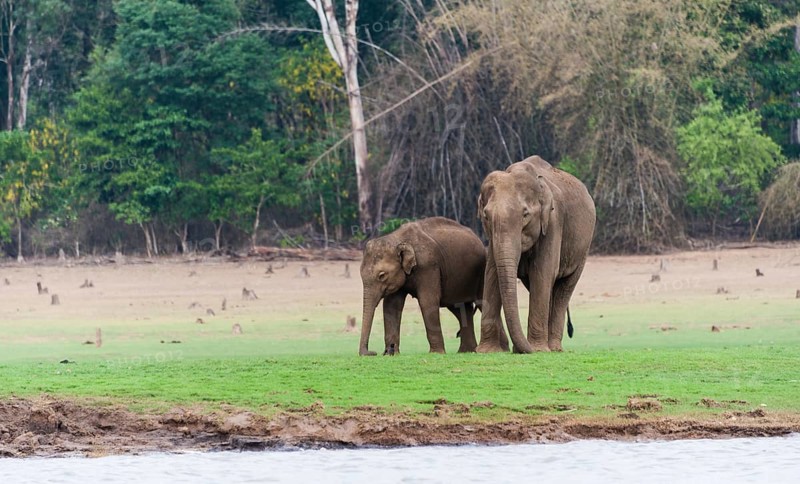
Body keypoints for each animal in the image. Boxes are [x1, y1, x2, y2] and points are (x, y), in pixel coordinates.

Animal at [359, 217, 485, 356]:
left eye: (382, 275)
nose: (373, 352)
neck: (398, 238)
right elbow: (391, 306)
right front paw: (391, 354)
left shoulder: (428, 265)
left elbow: (427, 302)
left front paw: (436, 353)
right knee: (461, 308)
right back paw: (467, 351)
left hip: (481, 271)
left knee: (481, 302)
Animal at [476, 155, 595, 353]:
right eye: (486, 216)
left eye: (525, 214)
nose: (520, 350)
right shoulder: (492, 237)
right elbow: (491, 273)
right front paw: (488, 351)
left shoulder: (553, 222)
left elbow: (543, 272)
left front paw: (537, 350)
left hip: (583, 247)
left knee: (564, 288)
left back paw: (553, 348)